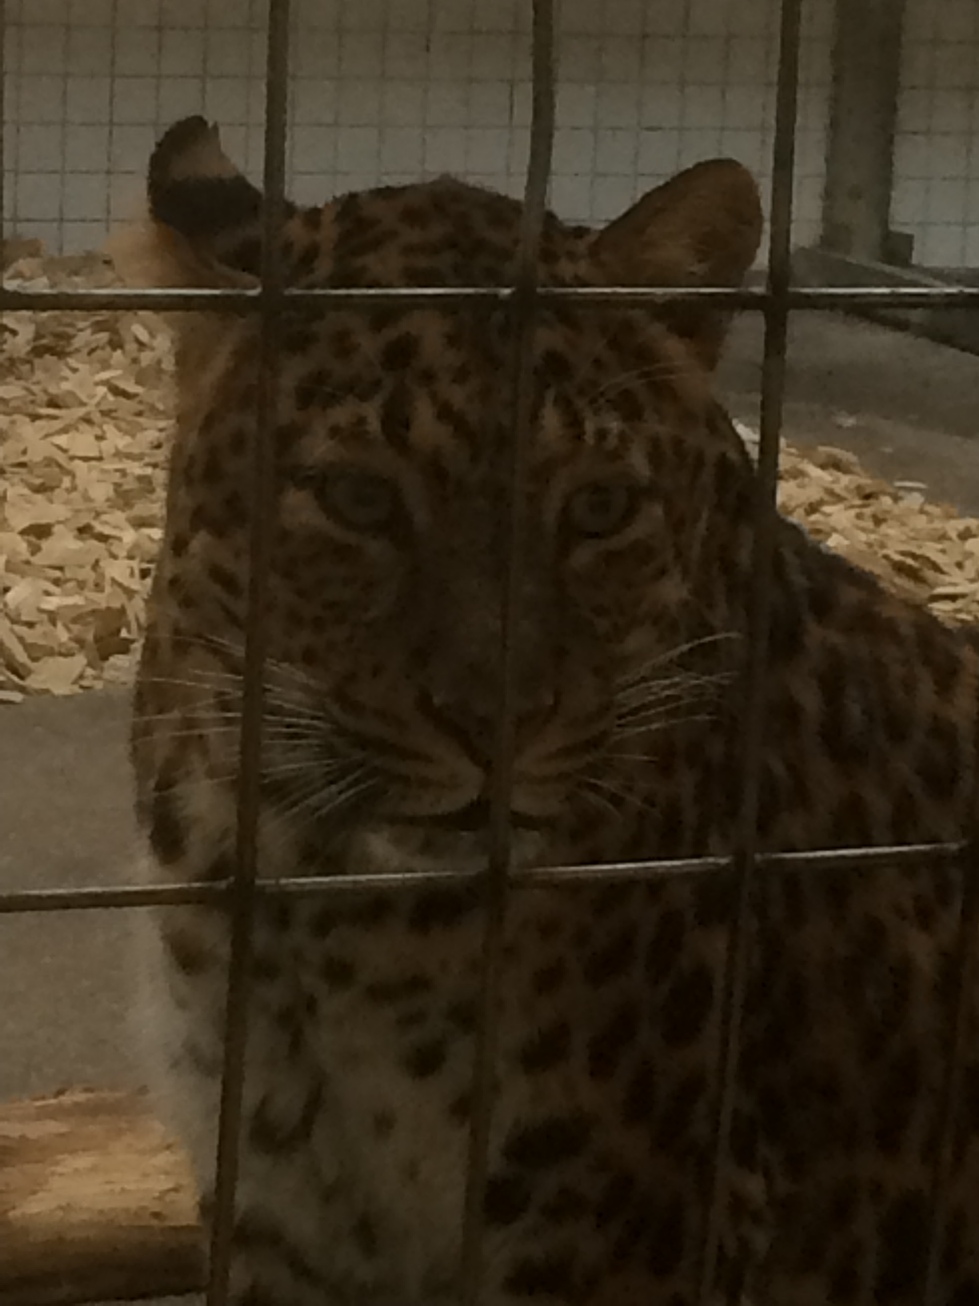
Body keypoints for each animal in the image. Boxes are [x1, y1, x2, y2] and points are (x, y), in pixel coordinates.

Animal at [119, 114, 979, 1306]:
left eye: (599, 508)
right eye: (359, 499)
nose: (498, 722)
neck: (321, 909)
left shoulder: (624, 1229)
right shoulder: (272, 1219)